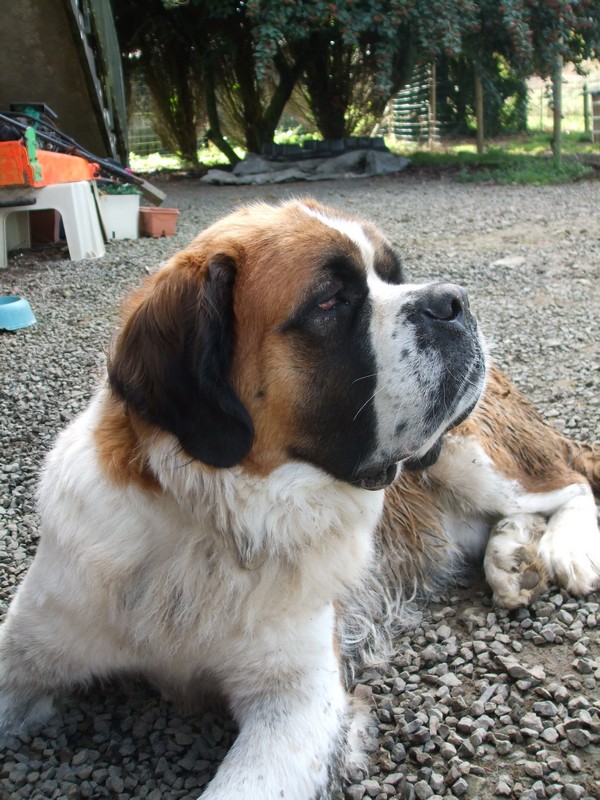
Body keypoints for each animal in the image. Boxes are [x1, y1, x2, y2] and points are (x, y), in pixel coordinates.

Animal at [1, 198, 600, 800]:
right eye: (330, 301)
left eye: (395, 276)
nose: (453, 300)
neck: (207, 522)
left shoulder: (298, 702)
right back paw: (513, 558)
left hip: (469, 451)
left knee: (573, 477)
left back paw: (564, 552)